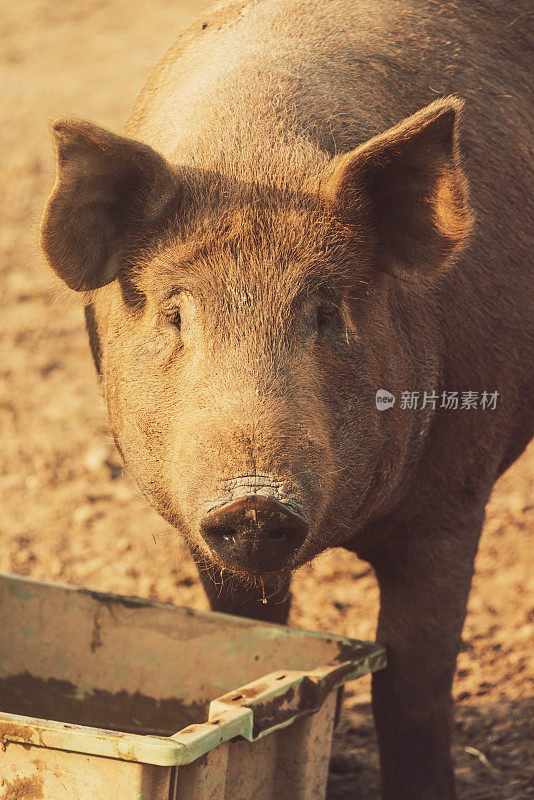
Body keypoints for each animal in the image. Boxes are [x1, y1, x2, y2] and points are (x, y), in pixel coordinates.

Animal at [38, 3, 534, 796]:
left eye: (327, 312)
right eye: (175, 315)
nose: (253, 497)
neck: (257, 156)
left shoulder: (457, 495)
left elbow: (412, 685)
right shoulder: (197, 524)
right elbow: (251, 626)